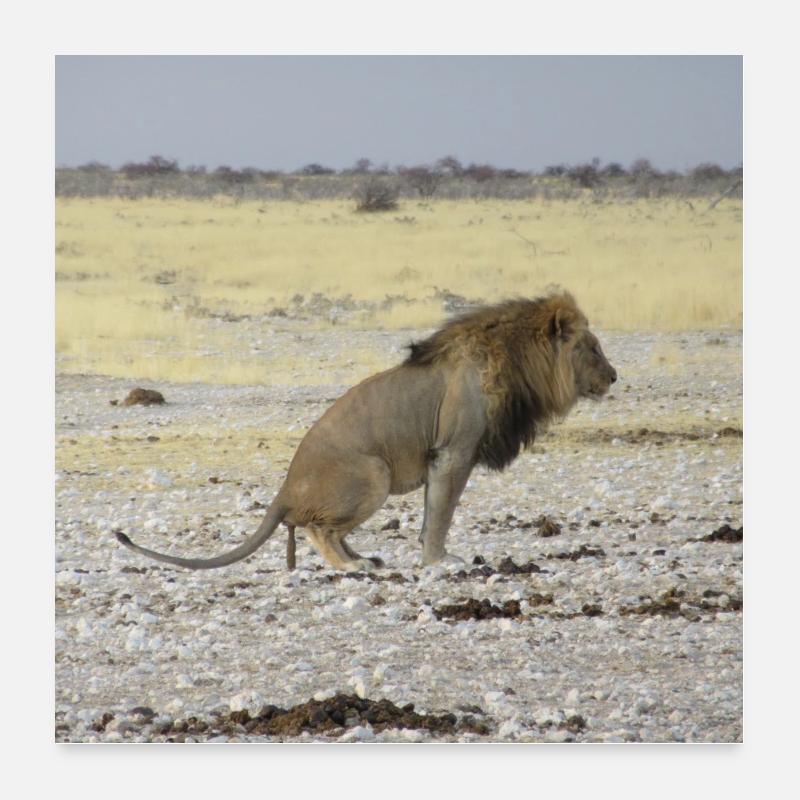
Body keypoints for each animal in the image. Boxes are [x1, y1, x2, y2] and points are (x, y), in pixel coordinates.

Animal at [116, 291, 617, 572]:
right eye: (592, 348)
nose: (614, 376)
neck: (518, 363)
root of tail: (282, 491)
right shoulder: (453, 453)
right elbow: (442, 513)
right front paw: (441, 563)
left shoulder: (444, 457)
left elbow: (431, 515)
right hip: (375, 472)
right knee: (319, 529)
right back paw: (354, 568)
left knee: (333, 530)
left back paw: (364, 558)